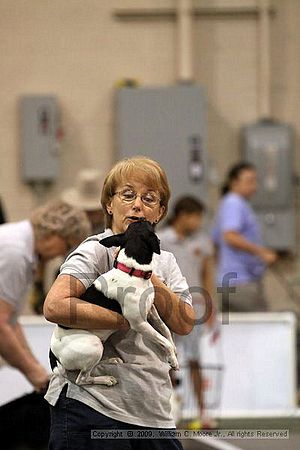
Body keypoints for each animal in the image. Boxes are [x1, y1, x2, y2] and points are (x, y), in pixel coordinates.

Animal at [50, 220, 179, 384]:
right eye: (146, 224)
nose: (145, 218)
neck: (132, 271)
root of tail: (54, 353)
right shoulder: (140, 323)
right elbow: (163, 340)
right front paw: (173, 360)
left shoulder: (151, 312)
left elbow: (165, 330)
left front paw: (174, 352)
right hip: (94, 345)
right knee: (83, 378)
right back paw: (105, 379)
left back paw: (111, 360)